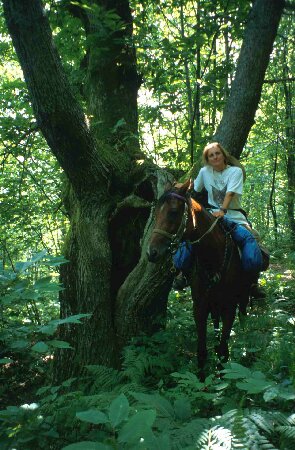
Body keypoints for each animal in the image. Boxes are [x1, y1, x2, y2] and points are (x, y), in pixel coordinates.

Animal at [147, 181, 252, 378]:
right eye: (155, 212)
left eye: (173, 212)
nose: (151, 253)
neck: (213, 258)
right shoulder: (200, 306)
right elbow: (202, 351)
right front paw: (202, 380)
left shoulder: (230, 307)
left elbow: (223, 350)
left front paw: (221, 378)